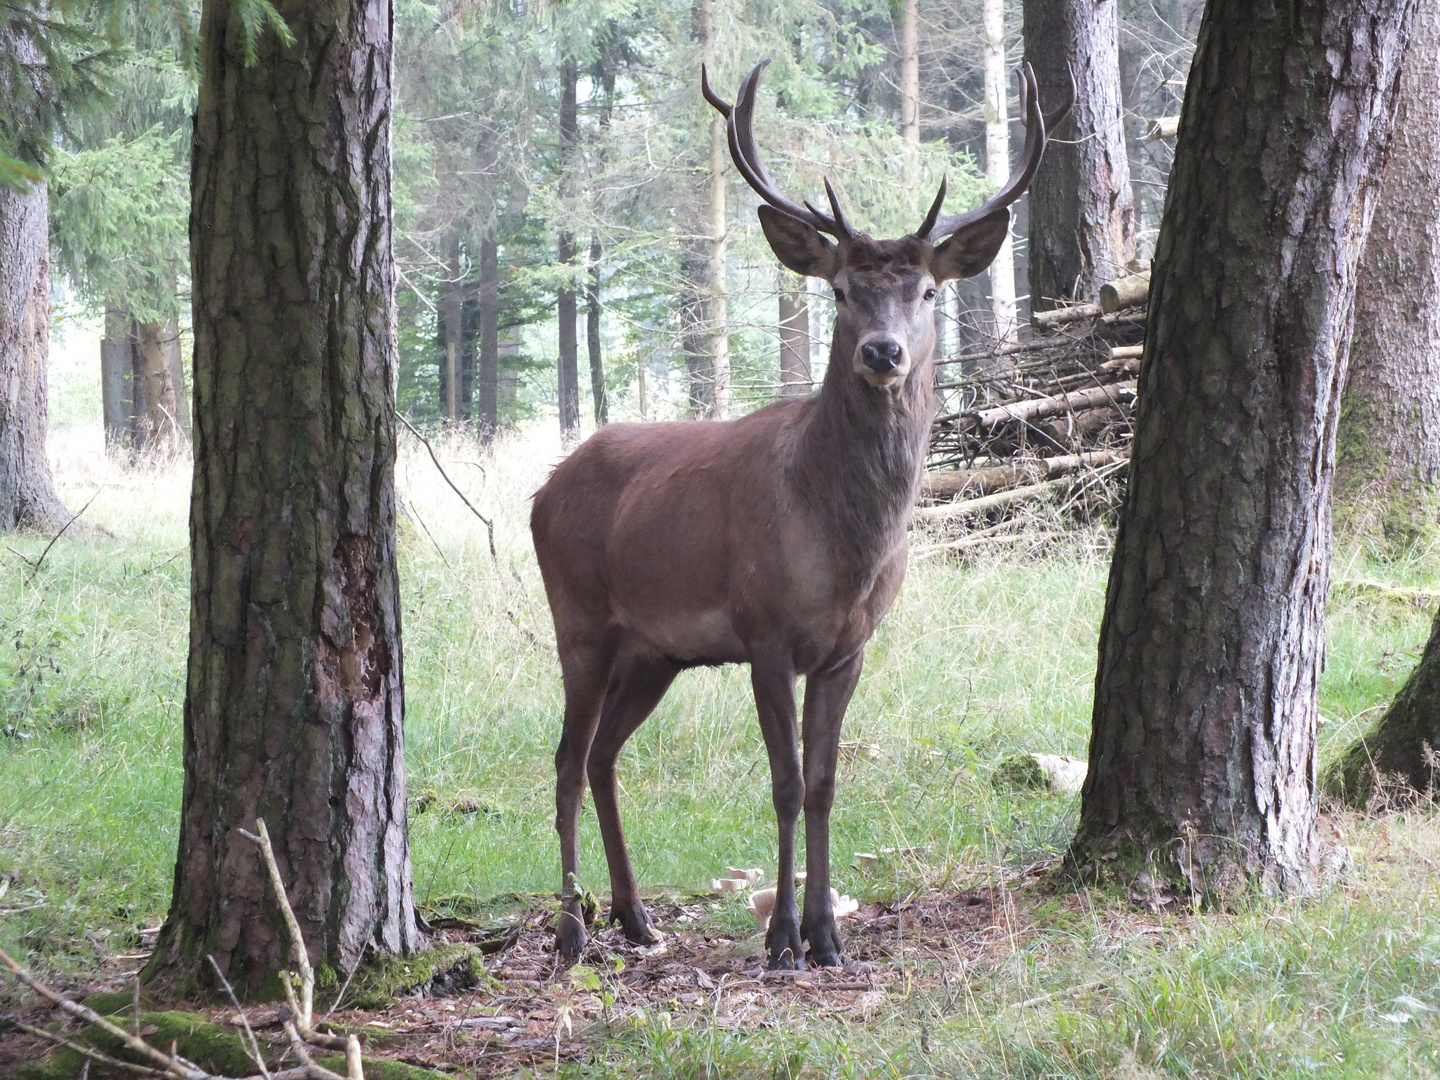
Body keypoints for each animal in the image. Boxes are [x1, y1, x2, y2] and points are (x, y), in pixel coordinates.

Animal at [532, 61, 1071, 973]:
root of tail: (541, 490)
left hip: (655, 651)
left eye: (928, 289)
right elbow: (783, 783)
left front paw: (827, 933)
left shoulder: (848, 646)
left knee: (605, 755)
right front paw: (782, 937)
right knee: (568, 758)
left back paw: (636, 918)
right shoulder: (765, 632)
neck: (844, 547)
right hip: (582, 619)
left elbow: (823, 783)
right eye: (843, 289)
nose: (884, 352)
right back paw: (573, 929)